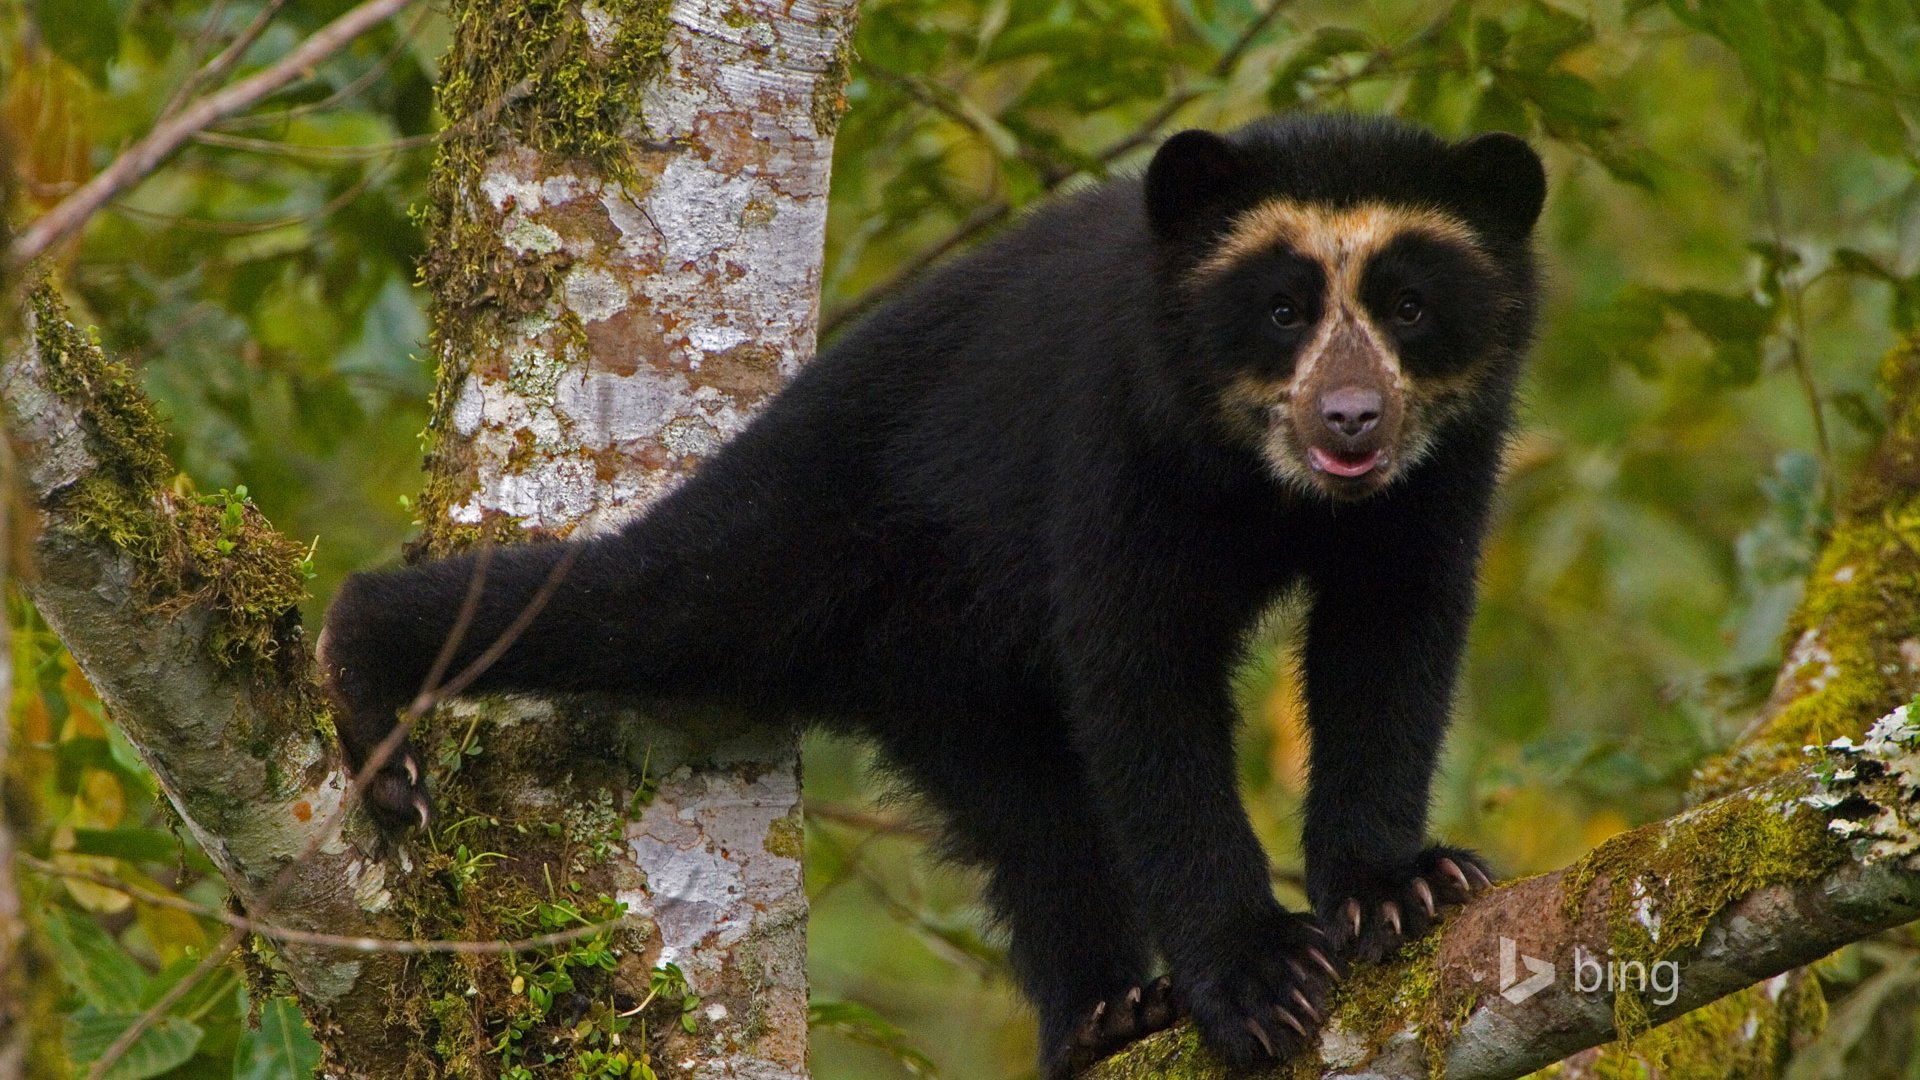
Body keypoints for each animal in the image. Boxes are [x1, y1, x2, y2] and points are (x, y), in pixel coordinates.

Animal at [318, 113, 1543, 1068]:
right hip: (815, 522)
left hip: (949, 676)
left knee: (1037, 821)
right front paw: (1256, 980)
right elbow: (1141, 678)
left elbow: (1392, 635)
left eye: (1410, 307)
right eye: (1284, 309)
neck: (1267, 479)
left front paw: (1404, 886)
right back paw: (367, 675)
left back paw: (1103, 1016)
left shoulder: (1442, 469)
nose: (1353, 420)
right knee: (639, 599)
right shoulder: (1112, 434)